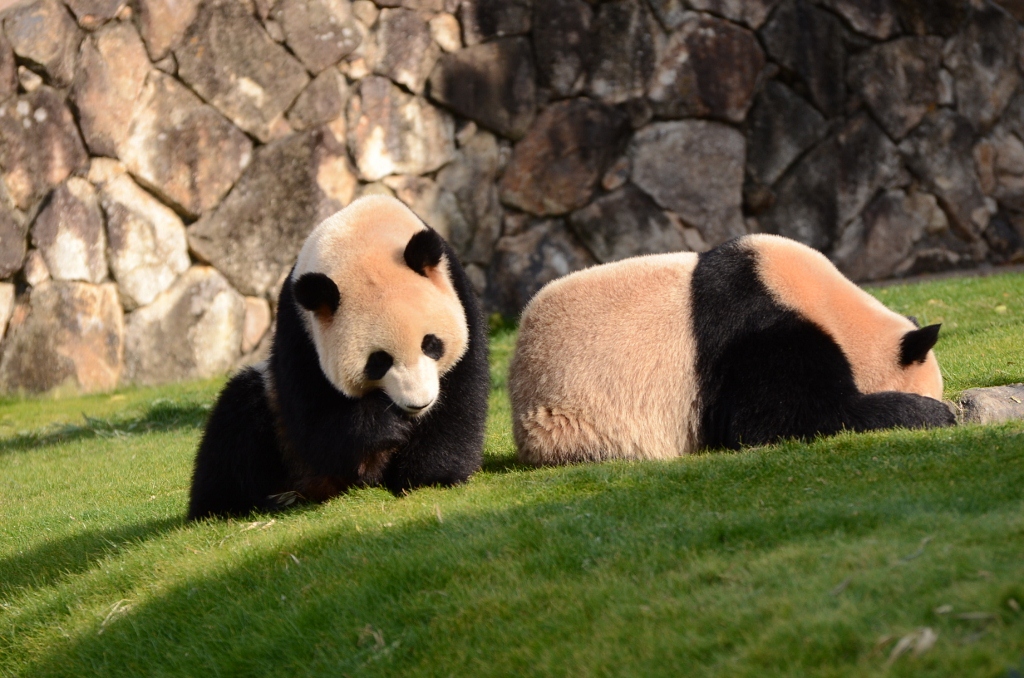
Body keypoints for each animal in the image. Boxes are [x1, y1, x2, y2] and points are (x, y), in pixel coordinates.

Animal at [189, 195, 491, 520]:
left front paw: (431, 476)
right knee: (235, 424)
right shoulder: (300, 331)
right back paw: (232, 505)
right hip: (278, 434)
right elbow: (315, 425)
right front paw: (384, 424)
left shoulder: (458, 293)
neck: (361, 233)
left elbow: (460, 395)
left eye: (431, 344)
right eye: (379, 361)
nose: (418, 404)